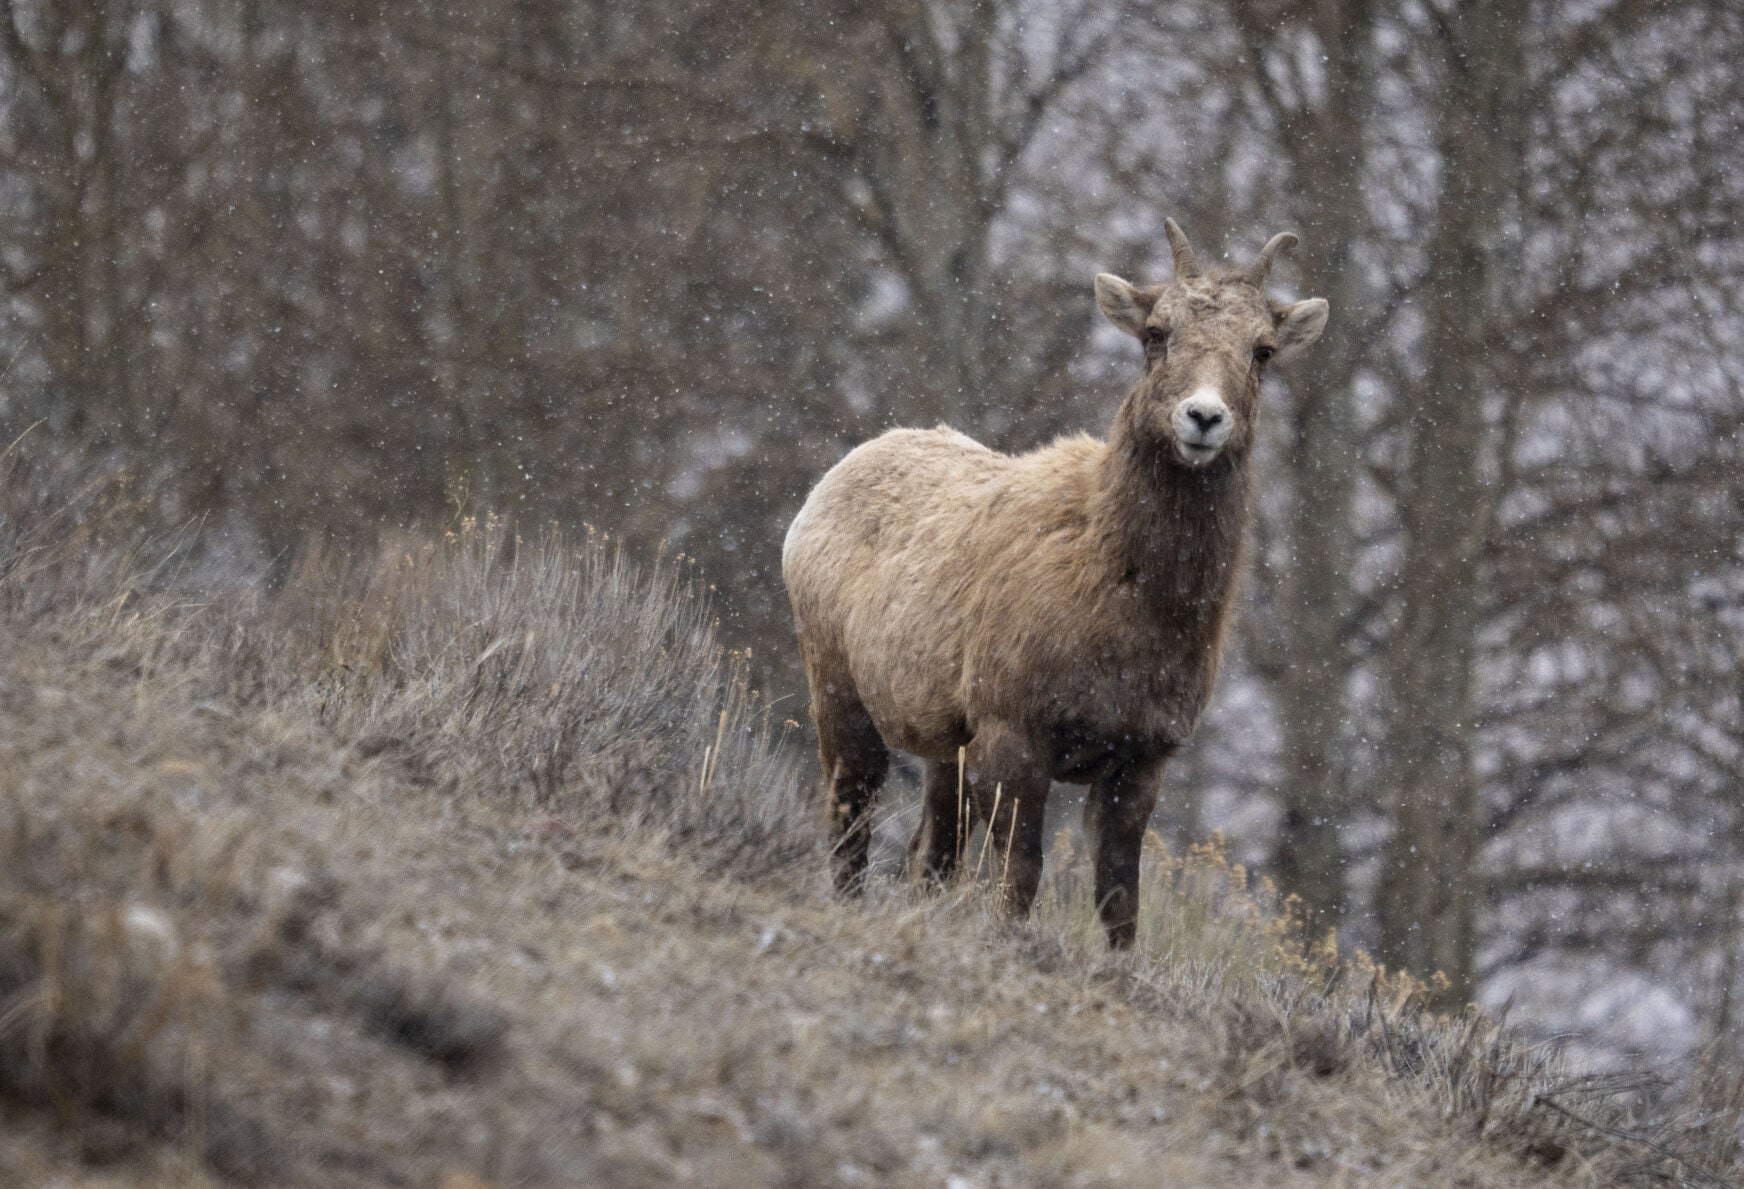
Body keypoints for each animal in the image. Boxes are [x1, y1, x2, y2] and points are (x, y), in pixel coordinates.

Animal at [782, 220, 1329, 947]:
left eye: (1262, 349)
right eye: (1156, 332)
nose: (1204, 417)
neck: (1131, 614)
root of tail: (818, 496)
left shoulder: (1143, 755)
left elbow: (1120, 898)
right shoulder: (1012, 727)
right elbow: (1020, 878)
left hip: (943, 747)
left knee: (929, 854)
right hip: (839, 690)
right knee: (851, 820)